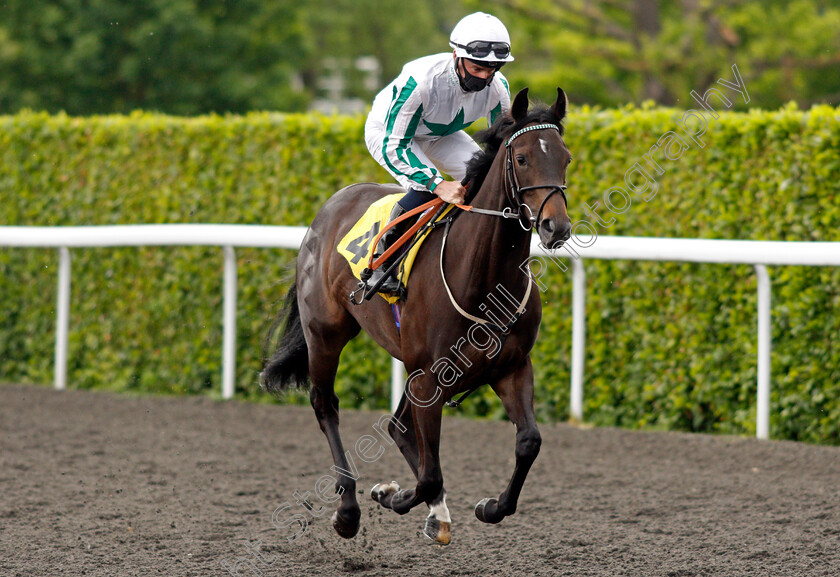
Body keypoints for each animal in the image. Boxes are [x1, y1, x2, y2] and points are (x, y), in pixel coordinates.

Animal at [262, 86, 576, 544]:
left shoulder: (511, 366)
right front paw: (390, 495)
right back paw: (349, 509)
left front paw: (490, 506)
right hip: (325, 333)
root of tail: (331, 206)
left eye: (565, 157)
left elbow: (529, 442)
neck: (483, 275)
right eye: (521, 159)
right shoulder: (429, 373)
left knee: (398, 426)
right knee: (326, 405)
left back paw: (433, 512)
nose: (557, 227)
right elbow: (429, 475)